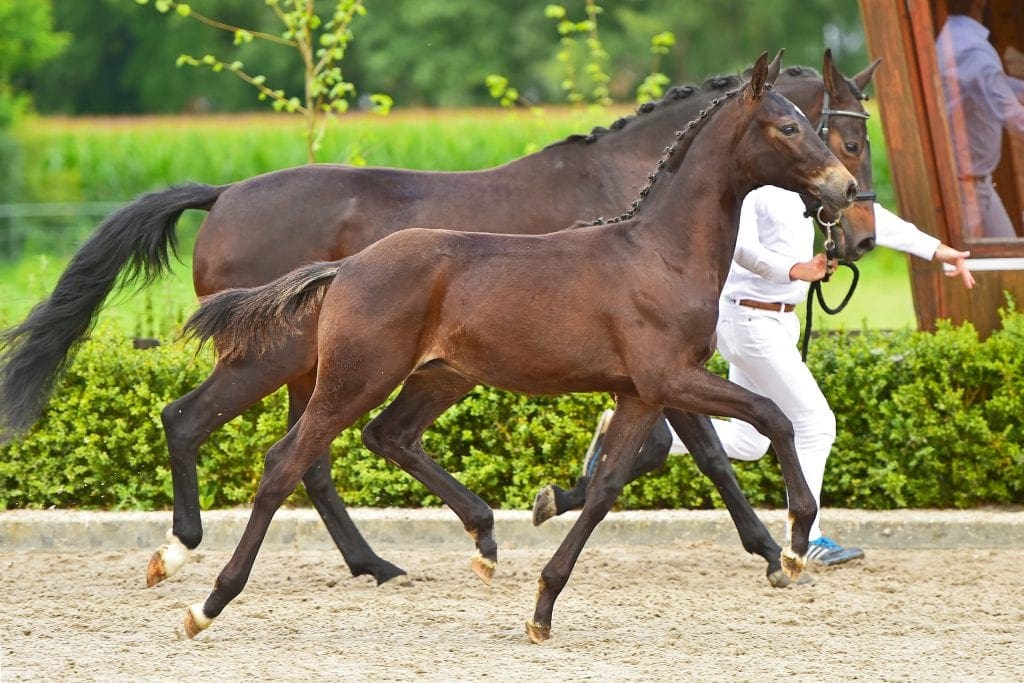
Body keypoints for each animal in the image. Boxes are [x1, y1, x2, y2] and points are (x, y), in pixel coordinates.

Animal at [0, 49, 878, 591]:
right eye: (841, 133)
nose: (857, 224)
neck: (638, 210)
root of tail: (222, 194)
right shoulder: (660, 363)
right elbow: (701, 450)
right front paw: (771, 546)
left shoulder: (654, 369)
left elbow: (693, 449)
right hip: (278, 356)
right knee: (197, 422)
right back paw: (181, 547)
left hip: (339, 366)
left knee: (319, 454)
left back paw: (381, 560)